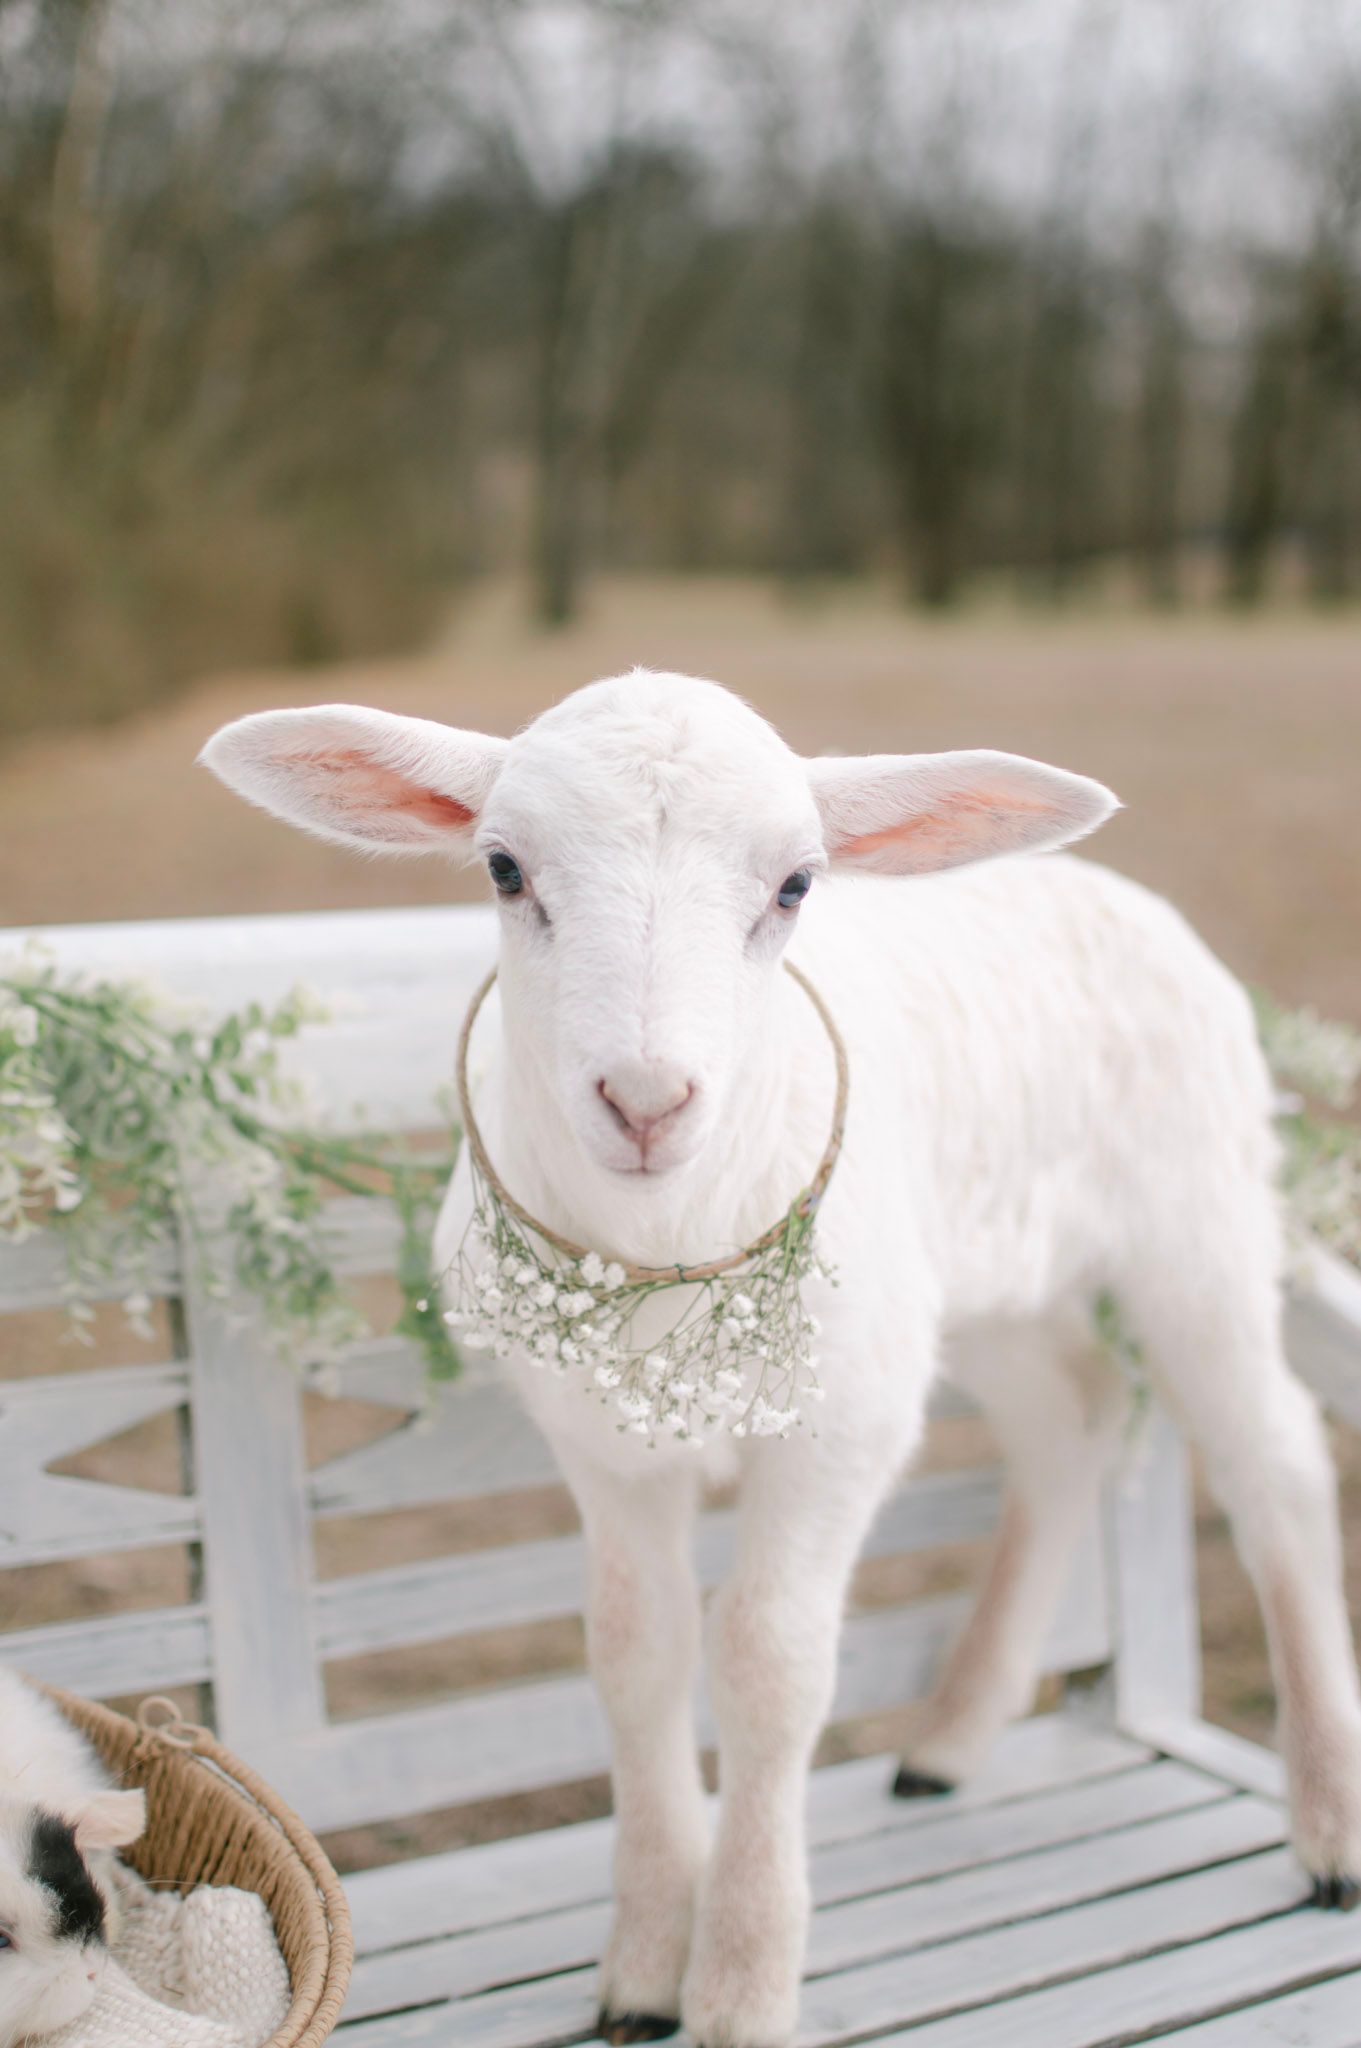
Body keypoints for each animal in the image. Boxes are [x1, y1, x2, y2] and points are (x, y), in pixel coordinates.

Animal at [203, 670, 1361, 2048]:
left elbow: (768, 1664)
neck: (664, 1244)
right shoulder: (598, 1446)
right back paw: (949, 1738)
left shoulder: (839, 1428)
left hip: (1197, 1220)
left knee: (1273, 1462)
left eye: (797, 884)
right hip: (977, 1284)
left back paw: (1326, 1829)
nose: (645, 1100)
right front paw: (643, 1966)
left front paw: (743, 1979)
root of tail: (1115, 890)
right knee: (1069, 1417)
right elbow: (634, 1655)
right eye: (501, 866)